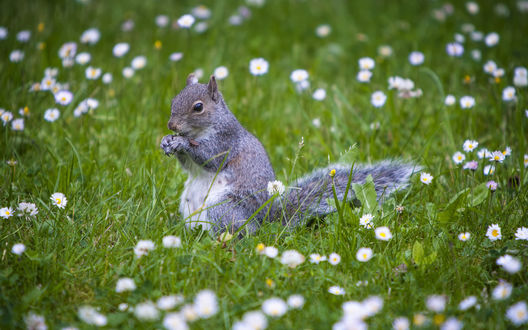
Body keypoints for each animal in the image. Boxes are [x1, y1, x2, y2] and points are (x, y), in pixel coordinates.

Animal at [161, 75, 420, 235]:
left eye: (198, 107)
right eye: (173, 99)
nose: (171, 125)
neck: (201, 130)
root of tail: (262, 223)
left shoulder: (226, 141)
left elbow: (209, 157)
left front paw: (181, 142)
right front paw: (166, 141)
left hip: (223, 208)